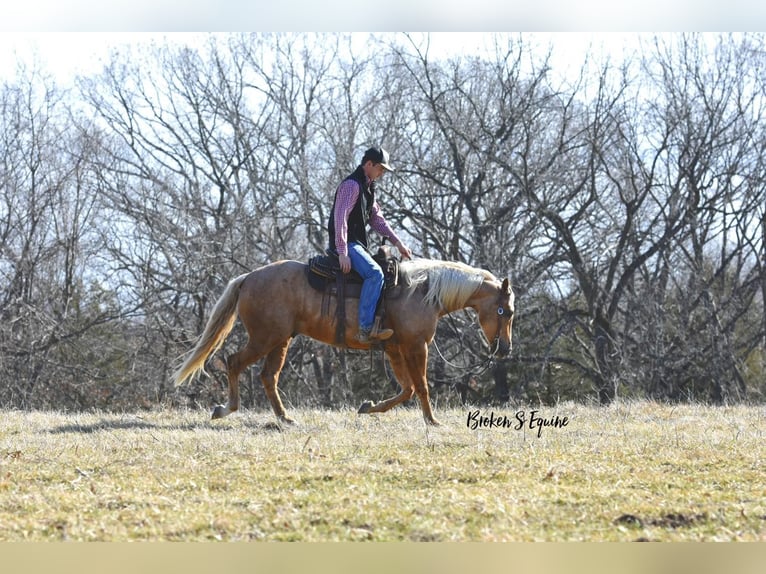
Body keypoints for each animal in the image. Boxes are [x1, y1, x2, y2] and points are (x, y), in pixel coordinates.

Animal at [174, 258, 516, 428]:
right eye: (507, 311)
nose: (505, 349)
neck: (420, 292)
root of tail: (247, 278)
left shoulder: (395, 349)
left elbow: (406, 388)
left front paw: (368, 407)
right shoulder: (416, 346)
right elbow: (421, 386)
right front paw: (432, 421)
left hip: (280, 340)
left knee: (268, 376)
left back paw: (285, 418)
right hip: (264, 338)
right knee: (234, 363)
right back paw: (225, 409)